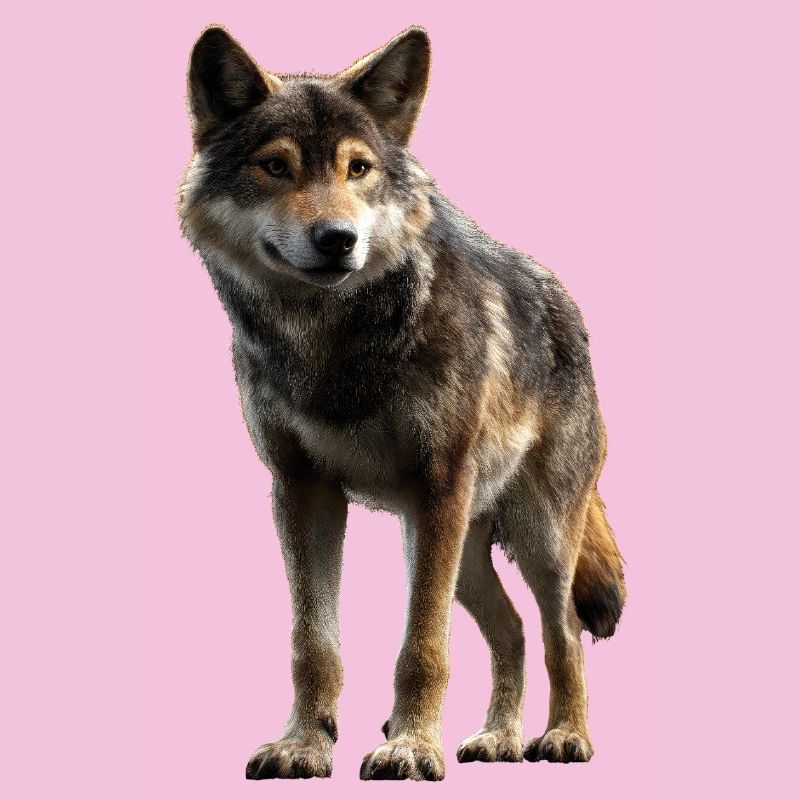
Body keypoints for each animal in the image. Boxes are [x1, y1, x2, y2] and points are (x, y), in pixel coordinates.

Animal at [178, 24, 626, 781]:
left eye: (358, 168)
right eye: (276, 167)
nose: (338, 239)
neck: (333, 340)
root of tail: (567, 305)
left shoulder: (437, 486)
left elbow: (422, 646)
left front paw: (411, 747)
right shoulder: (302, 490)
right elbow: (313, 644)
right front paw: (304, 745)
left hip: (530, 536)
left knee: (560, 631)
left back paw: (564, 736)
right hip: (460, 550)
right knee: (511, 632)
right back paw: (497, 739)